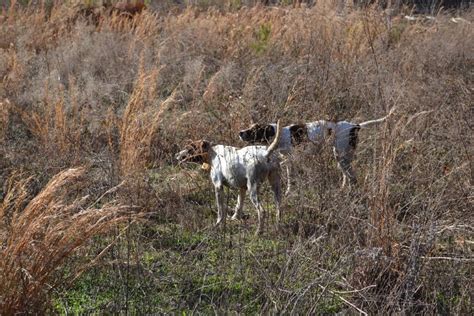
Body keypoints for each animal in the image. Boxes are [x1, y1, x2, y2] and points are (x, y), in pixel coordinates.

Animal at [239, 110, 394, 191]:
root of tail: (354, 126)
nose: (240, 132)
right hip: (340, 156)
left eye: (254, 130)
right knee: (347, 176)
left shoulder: (292, 161)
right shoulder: (289, 162)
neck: (281, 134)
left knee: (351, 177)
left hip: (342, 156)